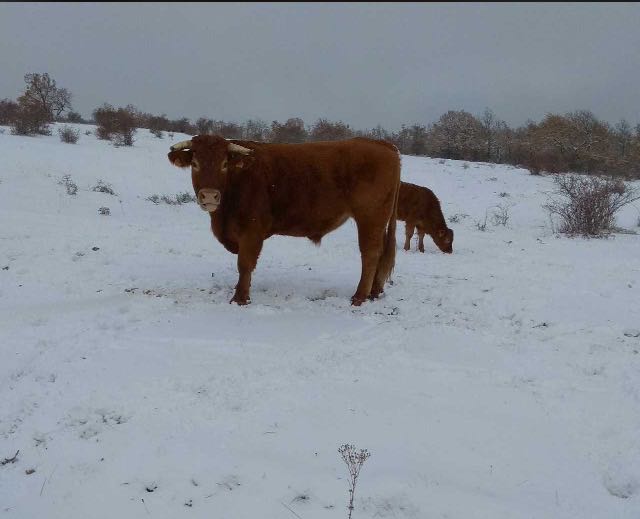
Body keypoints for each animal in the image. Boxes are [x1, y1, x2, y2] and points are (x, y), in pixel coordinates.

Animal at [170, 134, 400, 306]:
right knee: (380, 253)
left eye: (224, 164)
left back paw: (359, 297)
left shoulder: (252, 231)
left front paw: (240, 298)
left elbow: (244, 264)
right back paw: (374, 292)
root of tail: (382, 144)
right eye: (195, 164)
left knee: (370, 254)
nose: (209, 196)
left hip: (370, 218)